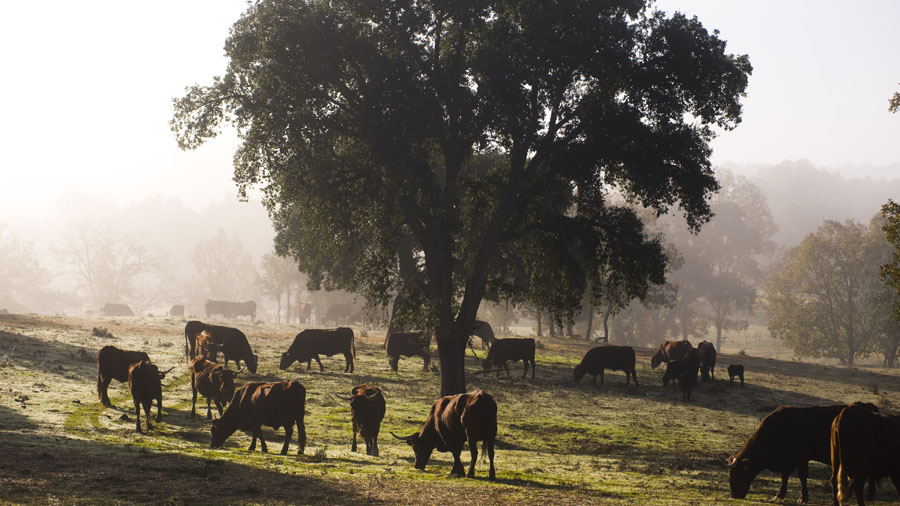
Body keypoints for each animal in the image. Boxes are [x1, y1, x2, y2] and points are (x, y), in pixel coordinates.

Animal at [724, 404, 880, 502]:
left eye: (738, 474)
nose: (734, 495)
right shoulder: (788, 461)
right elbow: (784, 476)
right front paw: (780, 494)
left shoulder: (802, 458)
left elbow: (802, 476)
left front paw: (803, 497)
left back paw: (869, 495)